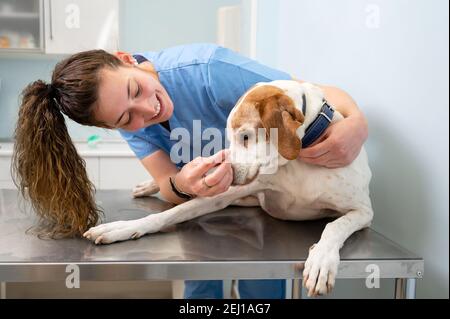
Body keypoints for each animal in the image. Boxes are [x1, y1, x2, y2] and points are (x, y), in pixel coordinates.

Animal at [81, 80, 372, 298]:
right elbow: (167, 215)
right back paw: (149, 186)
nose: (227, 174)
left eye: (245, 136)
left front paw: (322, 260)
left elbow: (334, 226)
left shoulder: (363, 211)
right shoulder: (223, 194)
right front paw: (121, 228)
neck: (297, 160)